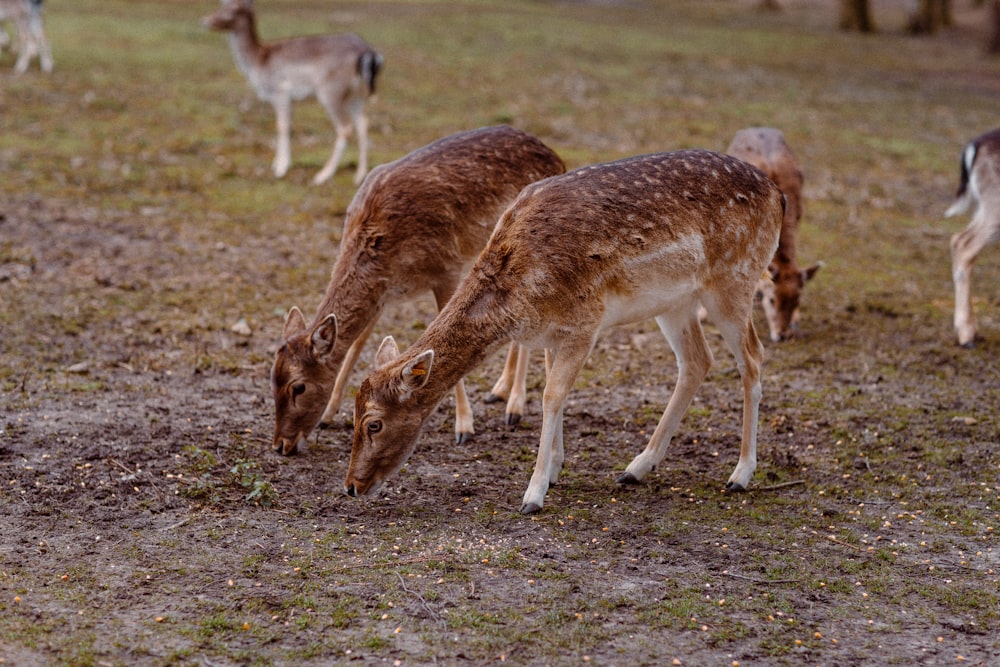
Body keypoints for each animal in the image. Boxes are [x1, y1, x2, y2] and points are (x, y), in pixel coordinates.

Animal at [201, 0, 380, 185]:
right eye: (222, 5)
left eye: (232, 9)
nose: (205, 20)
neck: (258, 62)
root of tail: (368, 52)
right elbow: (285, 124)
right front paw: (276, 163)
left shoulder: (281, 91)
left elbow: (282, 125)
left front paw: (281, 168)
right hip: (356, 95)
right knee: (363, 122)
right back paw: (359, 175)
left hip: (331, 92)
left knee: (345, 127)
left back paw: (323, 175)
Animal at [270, 125, 568, 456]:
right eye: (272, 380)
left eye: (298, 386)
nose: (281, 444)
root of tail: (557, 158)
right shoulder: (382, 295)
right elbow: (357, 344)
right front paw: (329, 414)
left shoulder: (445, 268)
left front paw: (464, 427)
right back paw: (498, 391)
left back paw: (513, 407)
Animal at [348, 149, 784, 516]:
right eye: (351, 414)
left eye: (374, 423)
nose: (351, 486)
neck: (520, 300)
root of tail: (777, 195)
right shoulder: (551, 334)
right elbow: (552, 391)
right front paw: (556, 469)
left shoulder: (584, 323)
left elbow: (551, 396)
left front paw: (533, 494)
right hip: (676, 302)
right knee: (697, 360)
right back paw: (637, 467)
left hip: (733, 281)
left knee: (753, 357)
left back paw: (740, 474)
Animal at [944, 126, 1000, 350]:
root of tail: (974, 146)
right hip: (995, 206)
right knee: (966, 246)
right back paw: (966, 336)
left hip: (985, 207)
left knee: (958, 239)